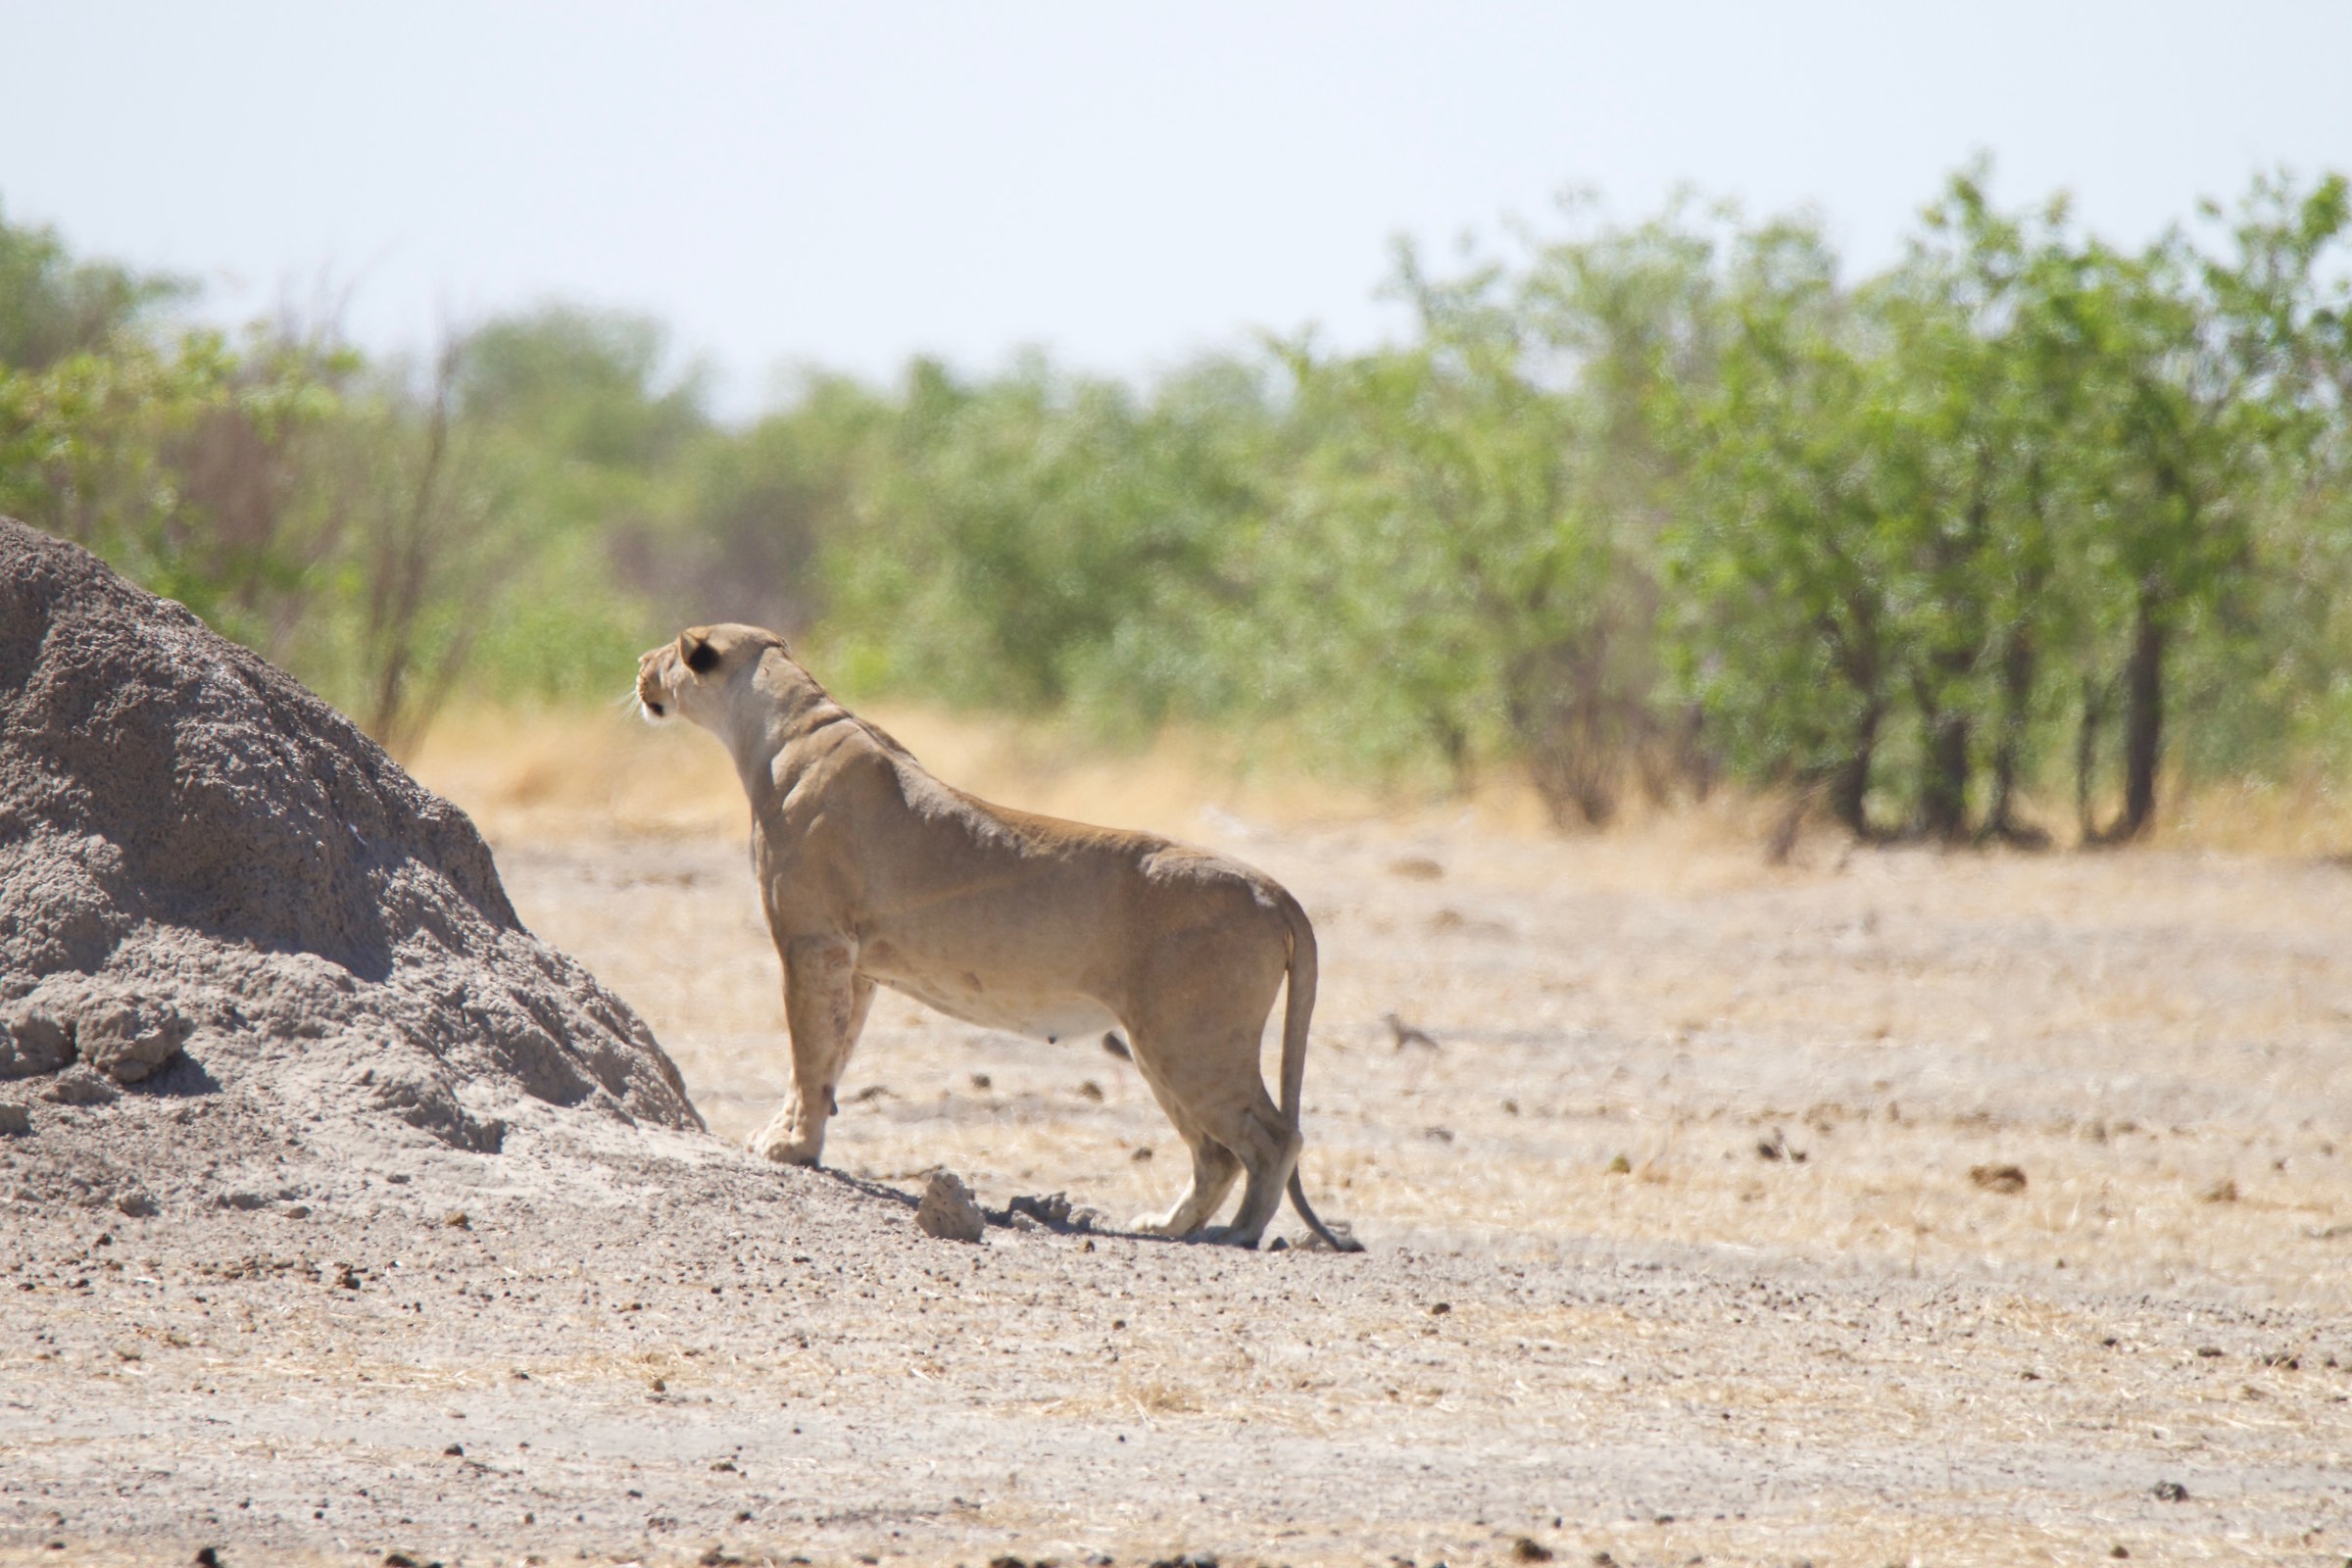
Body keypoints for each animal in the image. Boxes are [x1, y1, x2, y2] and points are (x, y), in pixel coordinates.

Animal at [635, 623, 1361, 1251]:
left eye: (673, 650)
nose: (640, 666)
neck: (778, 722)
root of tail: (1272, 887)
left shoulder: (811, 940)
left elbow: (807, 1054)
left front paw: (794, 1149)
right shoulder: (855, 964)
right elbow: (832, 1052)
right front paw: (790, 1135)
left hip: (1192, 1037)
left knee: (1274, 1137)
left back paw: (1237, 1234)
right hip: (1162, 1043)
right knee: (1216, 1152)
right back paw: (1167, 1225)